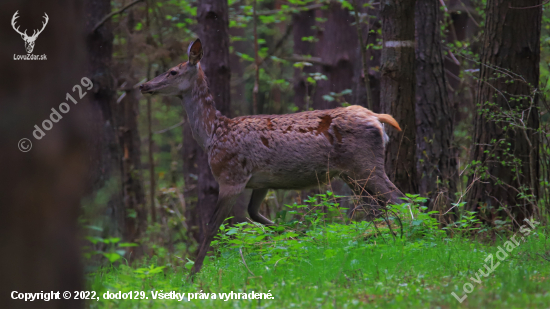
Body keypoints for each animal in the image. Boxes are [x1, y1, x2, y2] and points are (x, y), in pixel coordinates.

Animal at [140, 38, 408, 274]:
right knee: (378, 206)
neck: (212, 134)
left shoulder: (231, 177)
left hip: (365, 163)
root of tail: (377, 118)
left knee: (400, 199)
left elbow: (211, 228)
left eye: (172, 71)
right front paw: (300, 237)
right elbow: (255, 214)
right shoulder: (261, 182)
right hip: (351, 174)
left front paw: (192, 275)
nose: (144, 85)